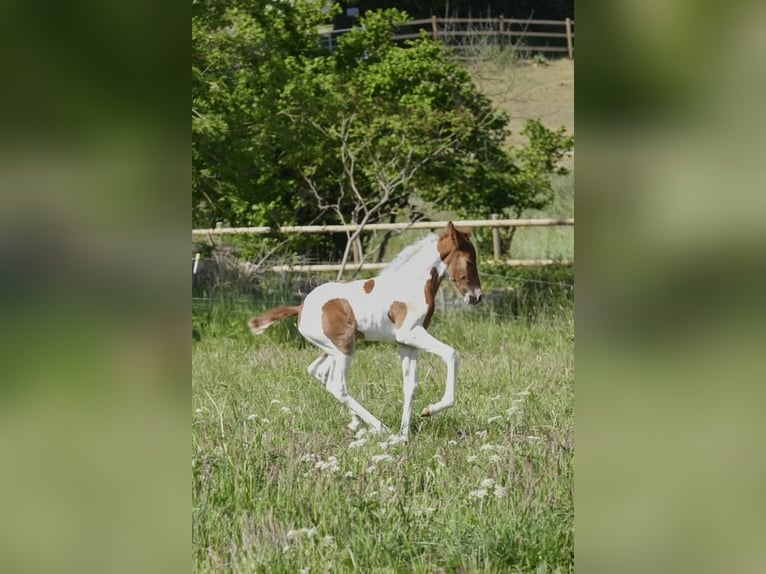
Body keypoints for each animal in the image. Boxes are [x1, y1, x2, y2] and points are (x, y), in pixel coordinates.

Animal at [249, 223, 484, 438]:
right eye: (470, 261)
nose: (477, 296)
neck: (412, 284)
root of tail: (301, 307)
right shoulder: (411, 333)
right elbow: (451, 354)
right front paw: (429, 410)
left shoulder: (406, 343)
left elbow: (410, 385)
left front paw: (404, 435)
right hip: (344, 347)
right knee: (337, 385)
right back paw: (380, 427)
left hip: (332, 349)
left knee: (318, 371)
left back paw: (357, 423)